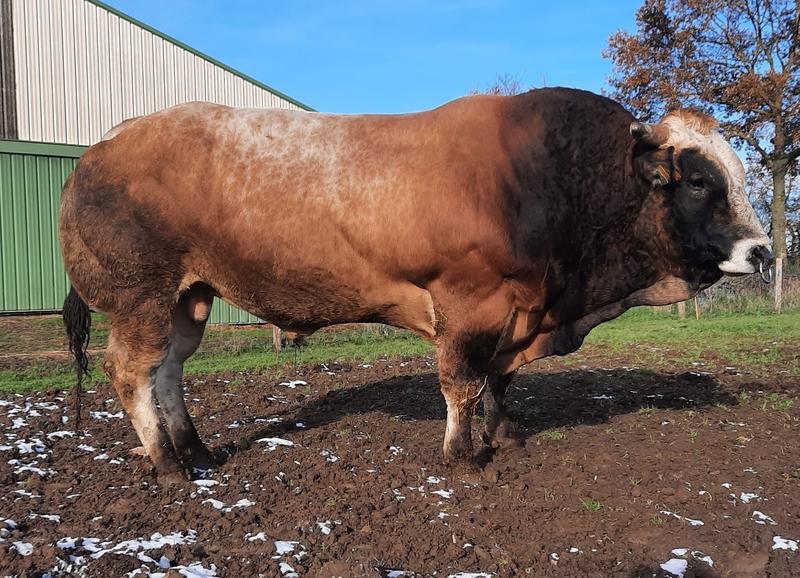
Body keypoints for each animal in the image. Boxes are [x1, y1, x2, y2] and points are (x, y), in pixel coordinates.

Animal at [59, 88, 772, 484]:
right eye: (700, 181)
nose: (764, 252)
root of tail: (107, 142)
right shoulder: (470, 303)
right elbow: (462, 383)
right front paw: (464, 456)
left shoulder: (516, 313)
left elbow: (498, 384)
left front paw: (501, 434)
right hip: (141, 296)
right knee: (131, 371)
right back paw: (168, 466)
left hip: (190, 295)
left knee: (169, 370)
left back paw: (196, 449)